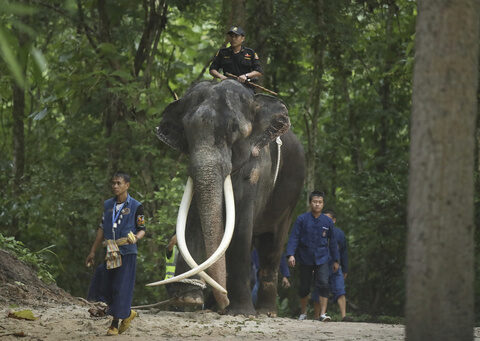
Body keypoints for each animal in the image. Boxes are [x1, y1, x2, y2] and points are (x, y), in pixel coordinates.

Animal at [150, 78, 306, 314]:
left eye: (234, 129)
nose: (223, 300)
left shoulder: (257, 170)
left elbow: (240, 226)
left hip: (291, 196)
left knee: (272, 245)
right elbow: (193, 220)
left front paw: (241, 312)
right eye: (186, 130)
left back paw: (265, 312)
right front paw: (189, 300)